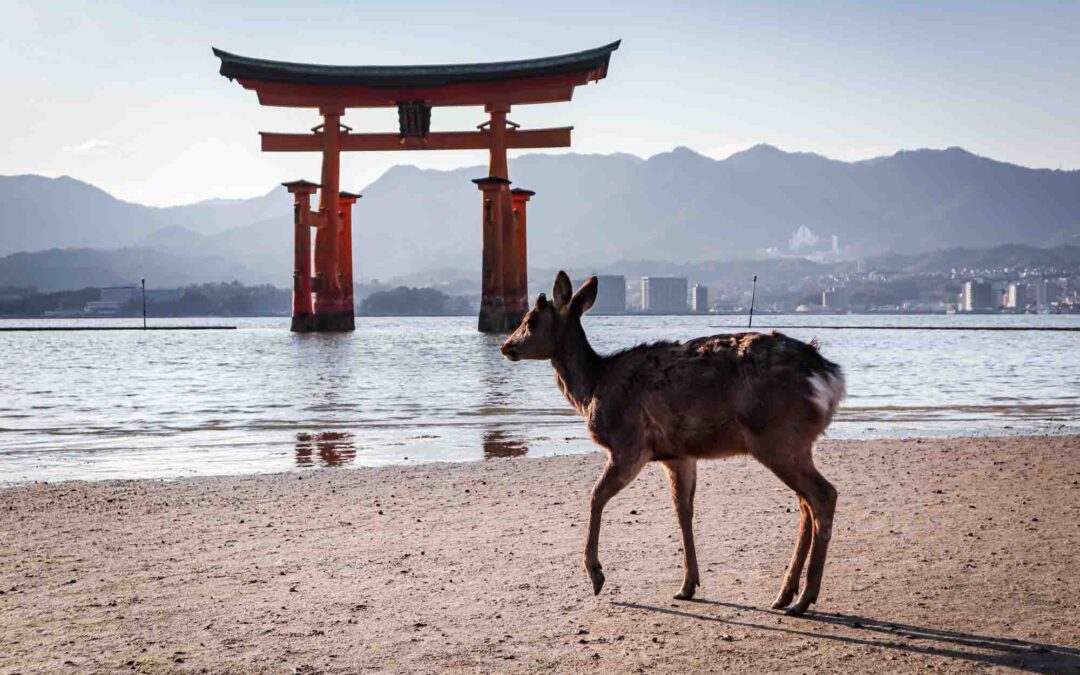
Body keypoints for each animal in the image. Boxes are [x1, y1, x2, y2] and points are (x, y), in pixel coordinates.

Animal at [496, 271, 842, 613]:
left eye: (531, 319)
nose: (506, 346)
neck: (593, 388)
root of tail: (831, 378)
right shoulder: (678, 455)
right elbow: (683, 511)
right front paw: (688, 585)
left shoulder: (629, 444)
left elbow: (596, 497)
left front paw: (596, 575)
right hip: (793, 441)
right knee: (805, 504)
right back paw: (785, 594)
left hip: (775, 435)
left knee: (823, 495)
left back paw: (804, 598)